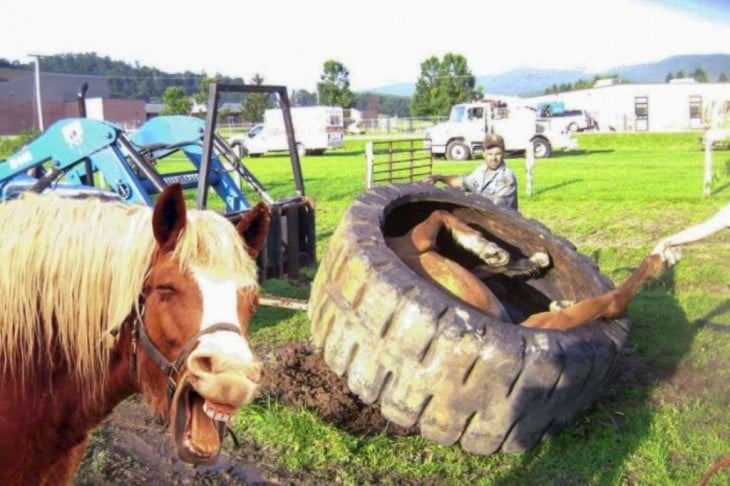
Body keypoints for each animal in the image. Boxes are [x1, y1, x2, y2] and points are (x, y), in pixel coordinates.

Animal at [384, 209, 672, 330]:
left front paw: (491, 251)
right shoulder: (419, 241)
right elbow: (439, 213)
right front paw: (488, 249)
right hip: (547, 322)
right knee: (613, 301)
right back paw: (660, 257)